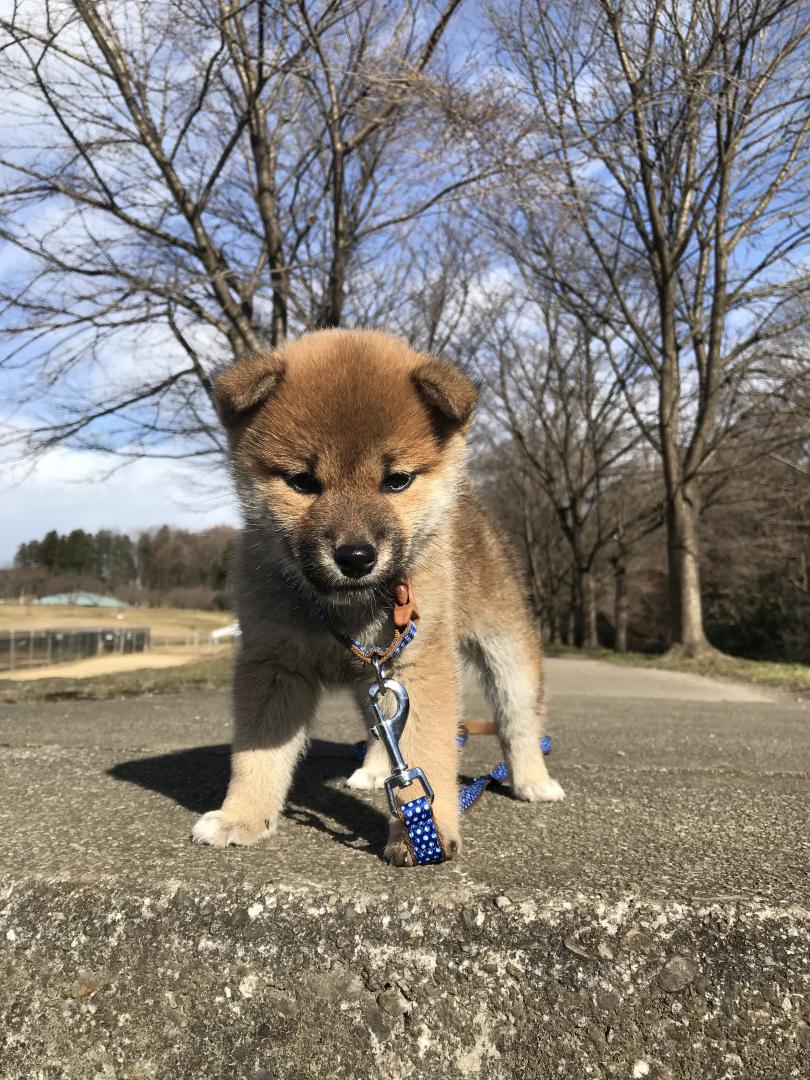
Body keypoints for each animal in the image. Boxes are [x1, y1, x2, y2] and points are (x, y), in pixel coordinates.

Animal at [195, 324, 565, 864]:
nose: (355, 557)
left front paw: (426, 830)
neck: (342, 608)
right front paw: (241, 816)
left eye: (397, 480)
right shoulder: (272, 663)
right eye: (302, 482)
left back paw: (533, 780)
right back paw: (374, 768)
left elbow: (426, 753)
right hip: (371, 674)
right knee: (381, 723)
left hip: (507, 648)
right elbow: (257, 755)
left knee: (519, 720)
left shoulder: (420, 664)